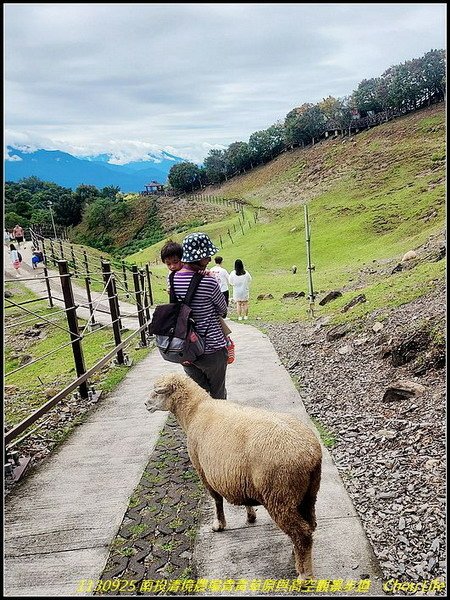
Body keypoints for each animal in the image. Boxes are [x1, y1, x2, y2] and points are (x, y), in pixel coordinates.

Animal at [146, 370, 322, 576]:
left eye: (157, 392)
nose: (146, 404)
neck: (195, 411)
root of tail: (310, 454)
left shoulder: (203, 471)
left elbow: (216, 500)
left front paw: (219, 524)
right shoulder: (238, 476)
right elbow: (244, 497)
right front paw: (250, 514)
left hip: (280, 496)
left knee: (301, 533)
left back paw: (304, 574)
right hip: (308, 493)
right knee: (309, 525)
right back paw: (297, 555)